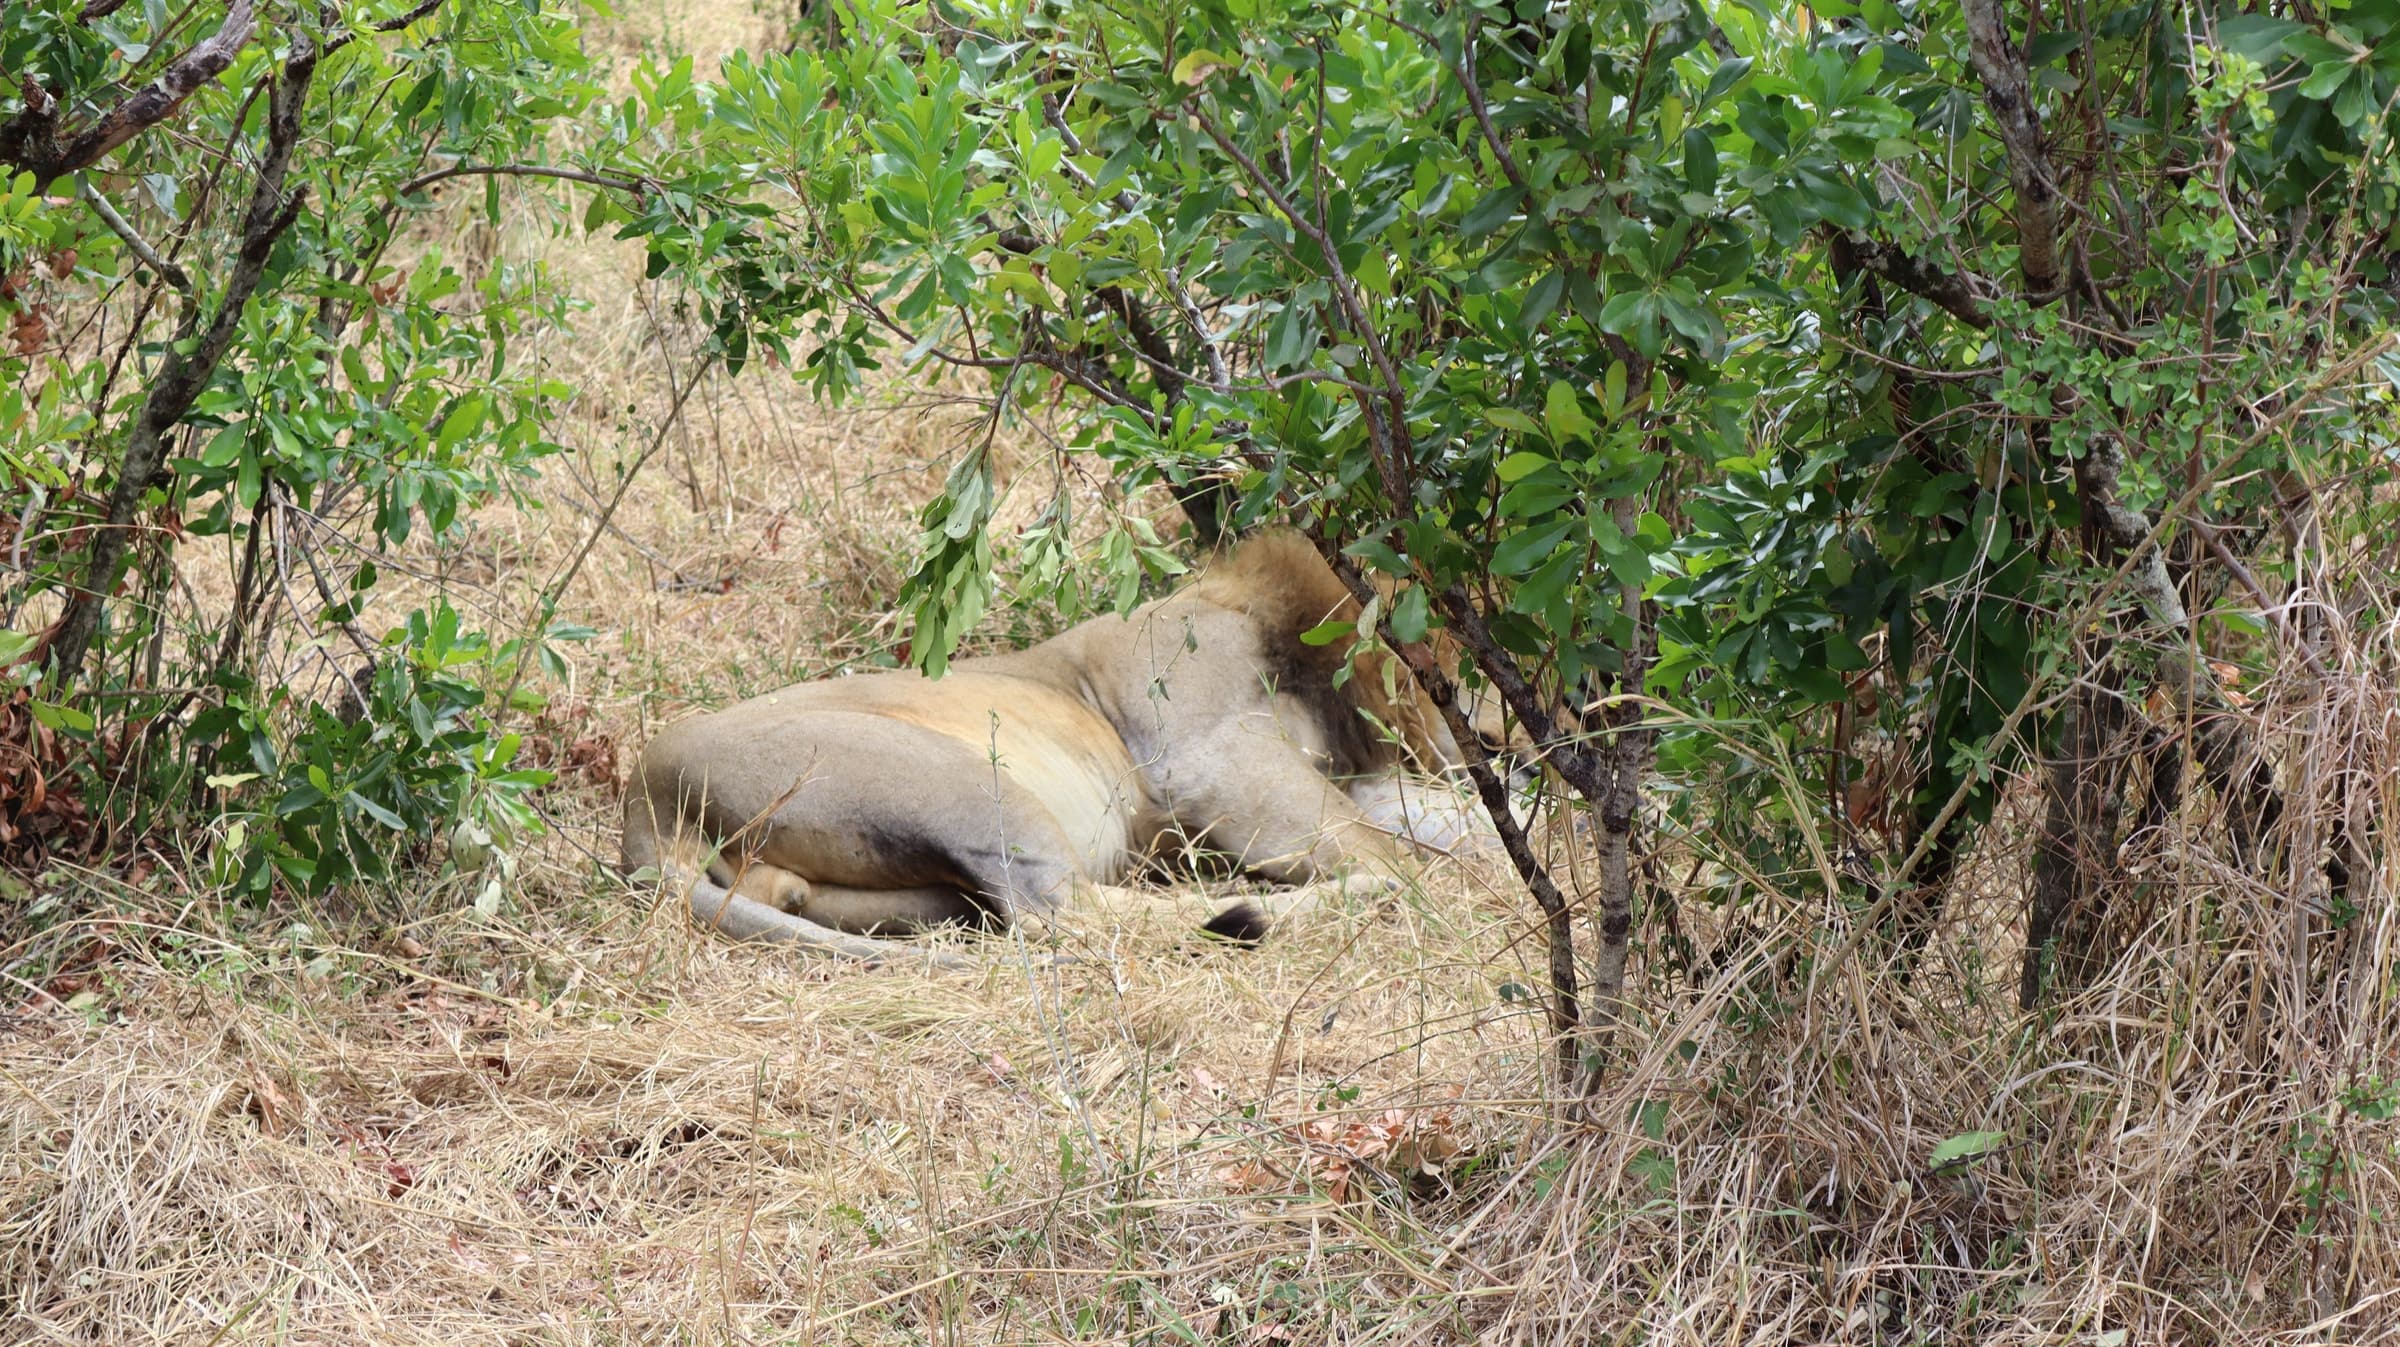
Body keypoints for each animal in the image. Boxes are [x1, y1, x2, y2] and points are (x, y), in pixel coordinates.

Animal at [617, 530, 1509, 960]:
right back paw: (1272, 907)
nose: (1506, 740)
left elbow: (1454, 827)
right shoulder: (1214, 760)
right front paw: (1448, 888)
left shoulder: (1352, 774)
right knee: (1067, 913)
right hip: (964, 781)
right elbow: (1394, 855)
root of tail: (641, 798)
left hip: (905, 880)